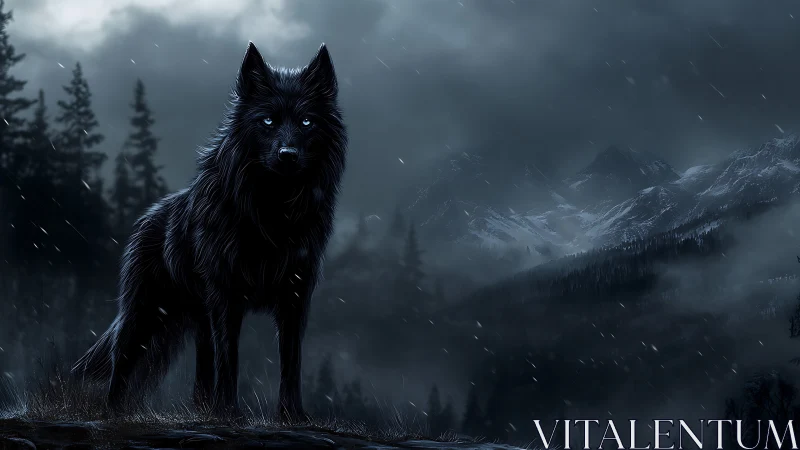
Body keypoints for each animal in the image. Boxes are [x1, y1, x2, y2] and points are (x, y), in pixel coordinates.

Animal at [72, 42, 347, 421]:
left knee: (201, 369)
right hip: (144, 314)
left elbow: (291, 360)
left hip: (197, 319)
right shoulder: (227, 296)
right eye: (267, 121)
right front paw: (228, 412)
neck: (274, 212)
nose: (287, 155)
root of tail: (148, 216)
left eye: (307, 122)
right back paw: (114, 413)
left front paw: (292, 416)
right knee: (121, 359)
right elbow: (229, 357)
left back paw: (200, 408)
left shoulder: (295, 295)